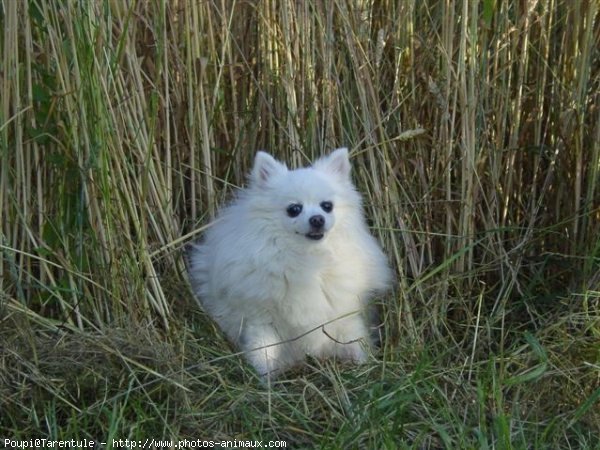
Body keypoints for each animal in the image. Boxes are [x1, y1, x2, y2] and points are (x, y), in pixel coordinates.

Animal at [189, 149, 394, 376]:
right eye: (294, 209)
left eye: (327, 206)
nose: (317, 219)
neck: (308, 258)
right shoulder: (262, 319)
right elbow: (263, 352)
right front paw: (266, 378)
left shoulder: (344, 314)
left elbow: (356, 342)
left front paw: (366, 366)